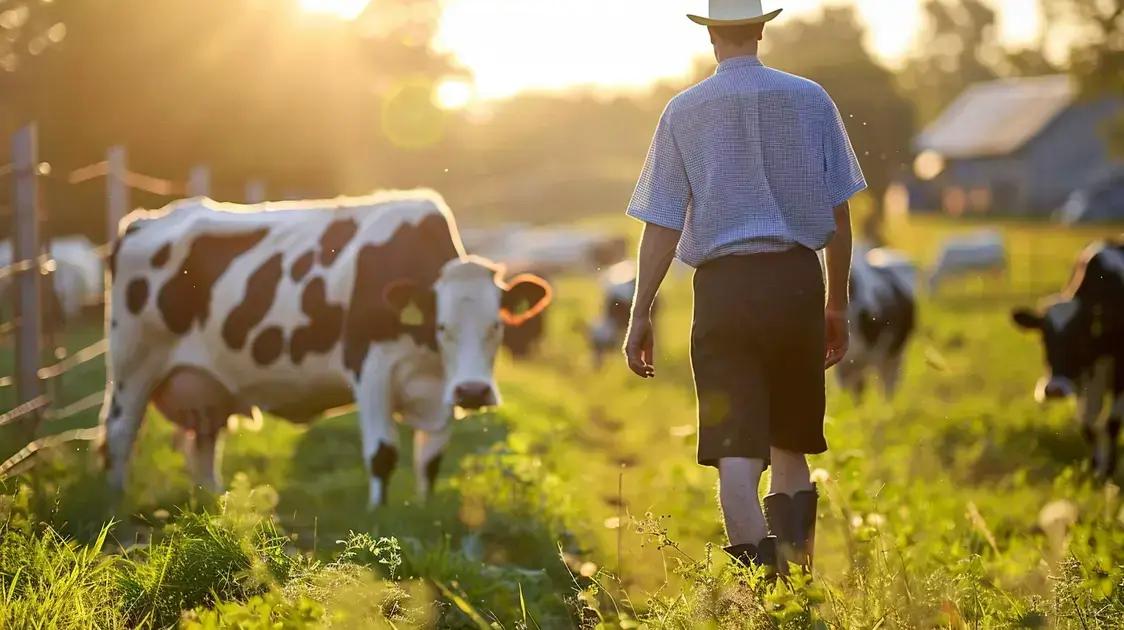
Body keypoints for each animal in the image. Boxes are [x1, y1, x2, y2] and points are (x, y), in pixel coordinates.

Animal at [103, 192, 550, 506]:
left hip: (207, 385)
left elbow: (430, 461)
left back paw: (215, 504)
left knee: (203, 446)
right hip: (132, 363)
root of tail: (140, 221)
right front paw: (379, 514)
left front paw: (425, 510)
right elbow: (383, 454)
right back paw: (115, 503)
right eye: (443, 326)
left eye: (497, 326)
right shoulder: (372, 370)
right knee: (119, 435)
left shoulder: (439, 391)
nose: (473, 391)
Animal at [1011, 239, 1124, 477]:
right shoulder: (1084, 378)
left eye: (1080, 336)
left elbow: (1112, 422)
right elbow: (1088, 425)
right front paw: (1095, 471)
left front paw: (1109, 470)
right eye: (1044, 339)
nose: (1054, 389)